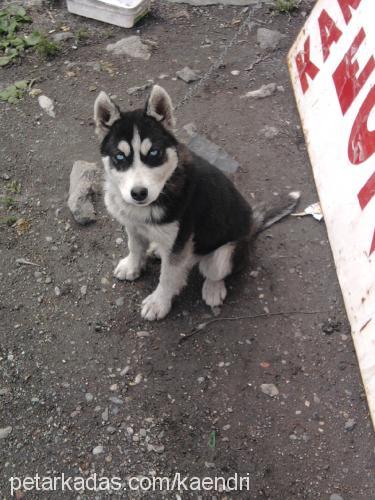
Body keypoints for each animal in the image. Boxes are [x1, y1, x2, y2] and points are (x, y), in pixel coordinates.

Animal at [95, 85, 302, 320]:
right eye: (120, 157)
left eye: (154, 152)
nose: (139, 193)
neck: (163, 189)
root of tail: (251, 229)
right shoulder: (133, 225)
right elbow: (135, 246)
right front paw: (132, 265)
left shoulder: (180, 239)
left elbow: (168, 276)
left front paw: (159, 302)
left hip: (223, 254)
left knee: (213, 272)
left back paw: (213, 289)